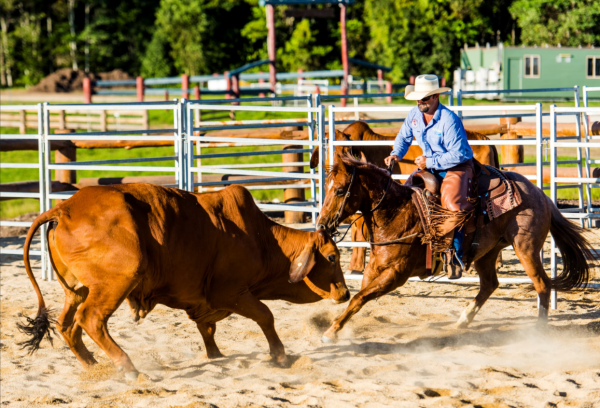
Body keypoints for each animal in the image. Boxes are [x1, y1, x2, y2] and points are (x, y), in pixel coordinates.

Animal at [316, 149, 592, 342]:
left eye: (339, 190)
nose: (321, 225)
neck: (396, 212)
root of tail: (540, 193)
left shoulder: (396, 274)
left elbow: (360, 297)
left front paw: (331, 331)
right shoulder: (375, 268)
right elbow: (358, 297)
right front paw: (336, 323)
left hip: (526, 248)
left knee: (542, 285)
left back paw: (538, 330)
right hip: (487, 252)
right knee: (490, 284)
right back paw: (462, 321)